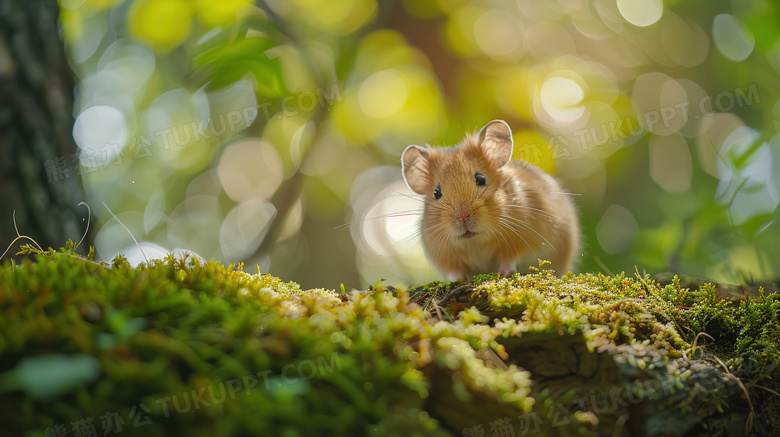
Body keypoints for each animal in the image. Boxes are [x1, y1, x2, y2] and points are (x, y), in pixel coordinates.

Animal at [402, 119, 580, 282]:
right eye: (436, 192)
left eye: (481, 179)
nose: (463, 217)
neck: (476, 241)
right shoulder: (442, 254)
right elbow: (455, 271)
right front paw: (460, 280)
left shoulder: (522, 236)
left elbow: (509, 258)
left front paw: (505, 273)